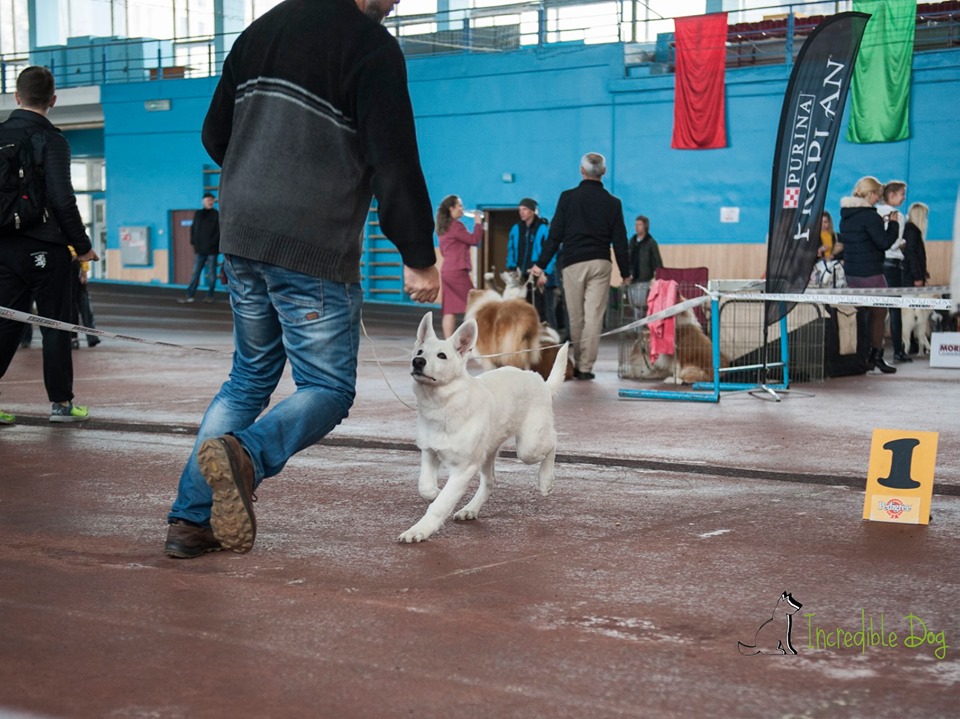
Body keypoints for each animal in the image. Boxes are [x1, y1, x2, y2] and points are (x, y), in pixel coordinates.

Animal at [400, 312, 568, 544]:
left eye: (442, 356)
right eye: (419, 351)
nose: (417, 362)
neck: (444, 405)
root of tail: (539, 380)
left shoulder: (463, 469)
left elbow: (440, 504)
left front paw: (420, 530)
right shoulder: (429, 451)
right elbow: (424, 485)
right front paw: (433, 491)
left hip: (529, 446)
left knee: (553, 442)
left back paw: (545, 481)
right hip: (488, 451)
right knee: (490, 481)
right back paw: (470, 509)